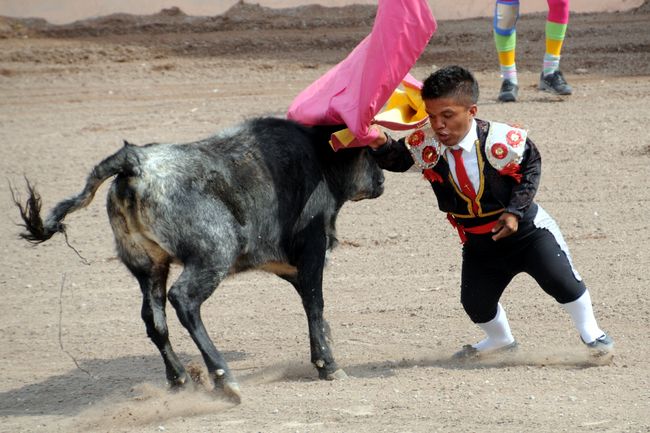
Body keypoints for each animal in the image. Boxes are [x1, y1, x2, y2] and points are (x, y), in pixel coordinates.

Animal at [12, 117, 384, 402]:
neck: (319, 157)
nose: (381, 180)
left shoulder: (288, 264)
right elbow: (315, 303)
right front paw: (328, 366)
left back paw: (179, 379)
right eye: (370, 149)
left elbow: (312, 305)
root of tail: (135, 162)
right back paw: (223, 378)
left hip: (148, 265)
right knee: (184, 299)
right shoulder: (312, 250)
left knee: (154, 318)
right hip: (213, 254)